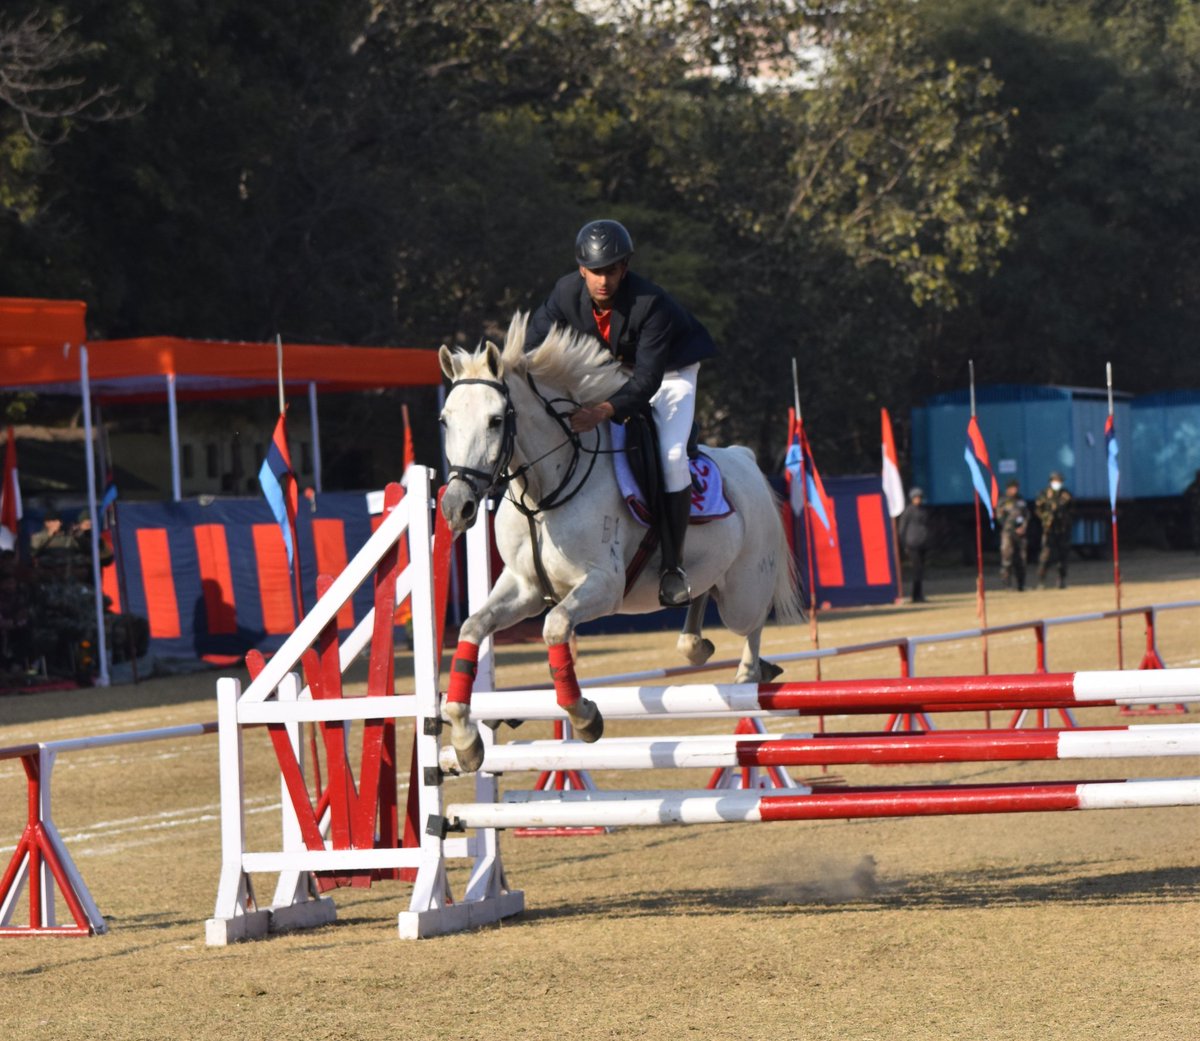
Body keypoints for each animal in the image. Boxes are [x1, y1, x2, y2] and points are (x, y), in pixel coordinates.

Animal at [437, 312, 803, 772]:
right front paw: (466, 740)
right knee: (700, 593)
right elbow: (473, 627)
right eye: (445, 420)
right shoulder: (524, 588)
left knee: (751, 625)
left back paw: (749, 674)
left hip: (743, 593)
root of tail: (744, 457)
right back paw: (695, 642)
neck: (544, 495)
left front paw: (584, 716)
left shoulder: (604, 585)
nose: (457, 506)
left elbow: (555, 627)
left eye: (497, 420)